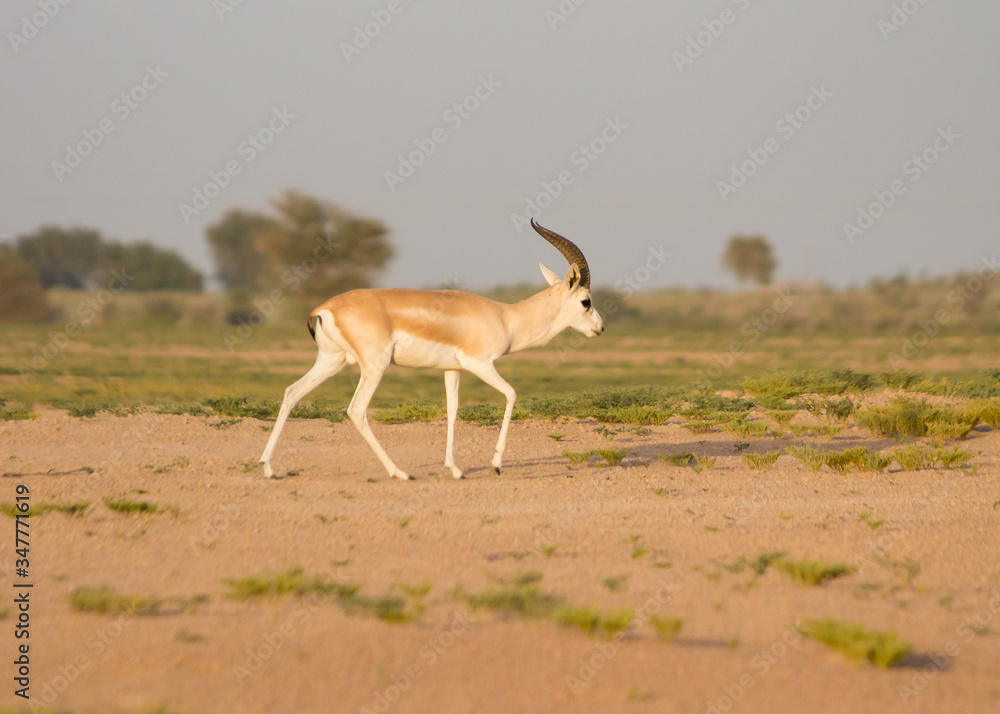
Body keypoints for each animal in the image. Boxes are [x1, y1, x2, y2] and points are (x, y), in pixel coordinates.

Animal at [259, 219, 604, 480]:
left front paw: (455, 469)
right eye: (586, 301)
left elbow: (452, 411)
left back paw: (268, 468)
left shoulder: (452, 369)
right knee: (356, 410)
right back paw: (399, 472)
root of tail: (324, 307)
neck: (506, 317)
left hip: (332, 362)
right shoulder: (480, 363)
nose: (600, 328)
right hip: (374, 366)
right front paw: (495, 464)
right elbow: (511, 394)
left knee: (292, 392)